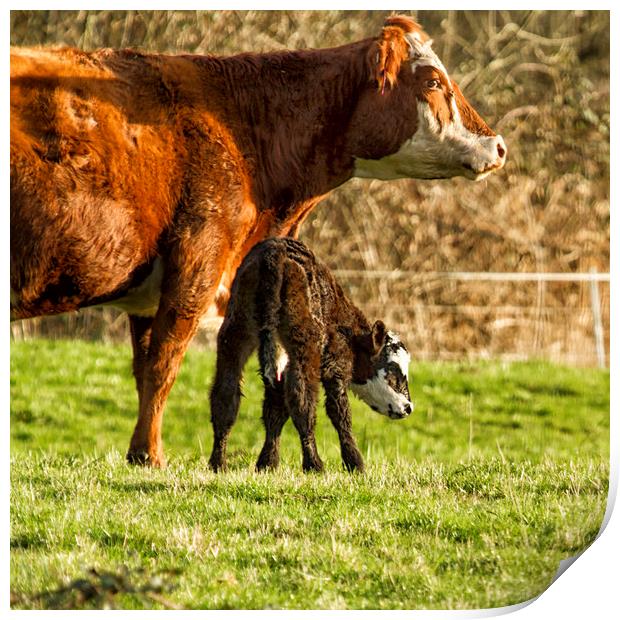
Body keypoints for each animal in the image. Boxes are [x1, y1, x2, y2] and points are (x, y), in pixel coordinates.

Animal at [207, 240, 412, 472]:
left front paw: (267, 463)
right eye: (393, 370)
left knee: (225, 394)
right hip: (304, 343)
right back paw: (314, 464)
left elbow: (275, 410)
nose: (408, 407)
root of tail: (274, 254)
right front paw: (355, 463)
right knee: (303, 401)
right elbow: (340, 413)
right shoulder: (335, 366)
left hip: (235, 329)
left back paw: (218, 464)